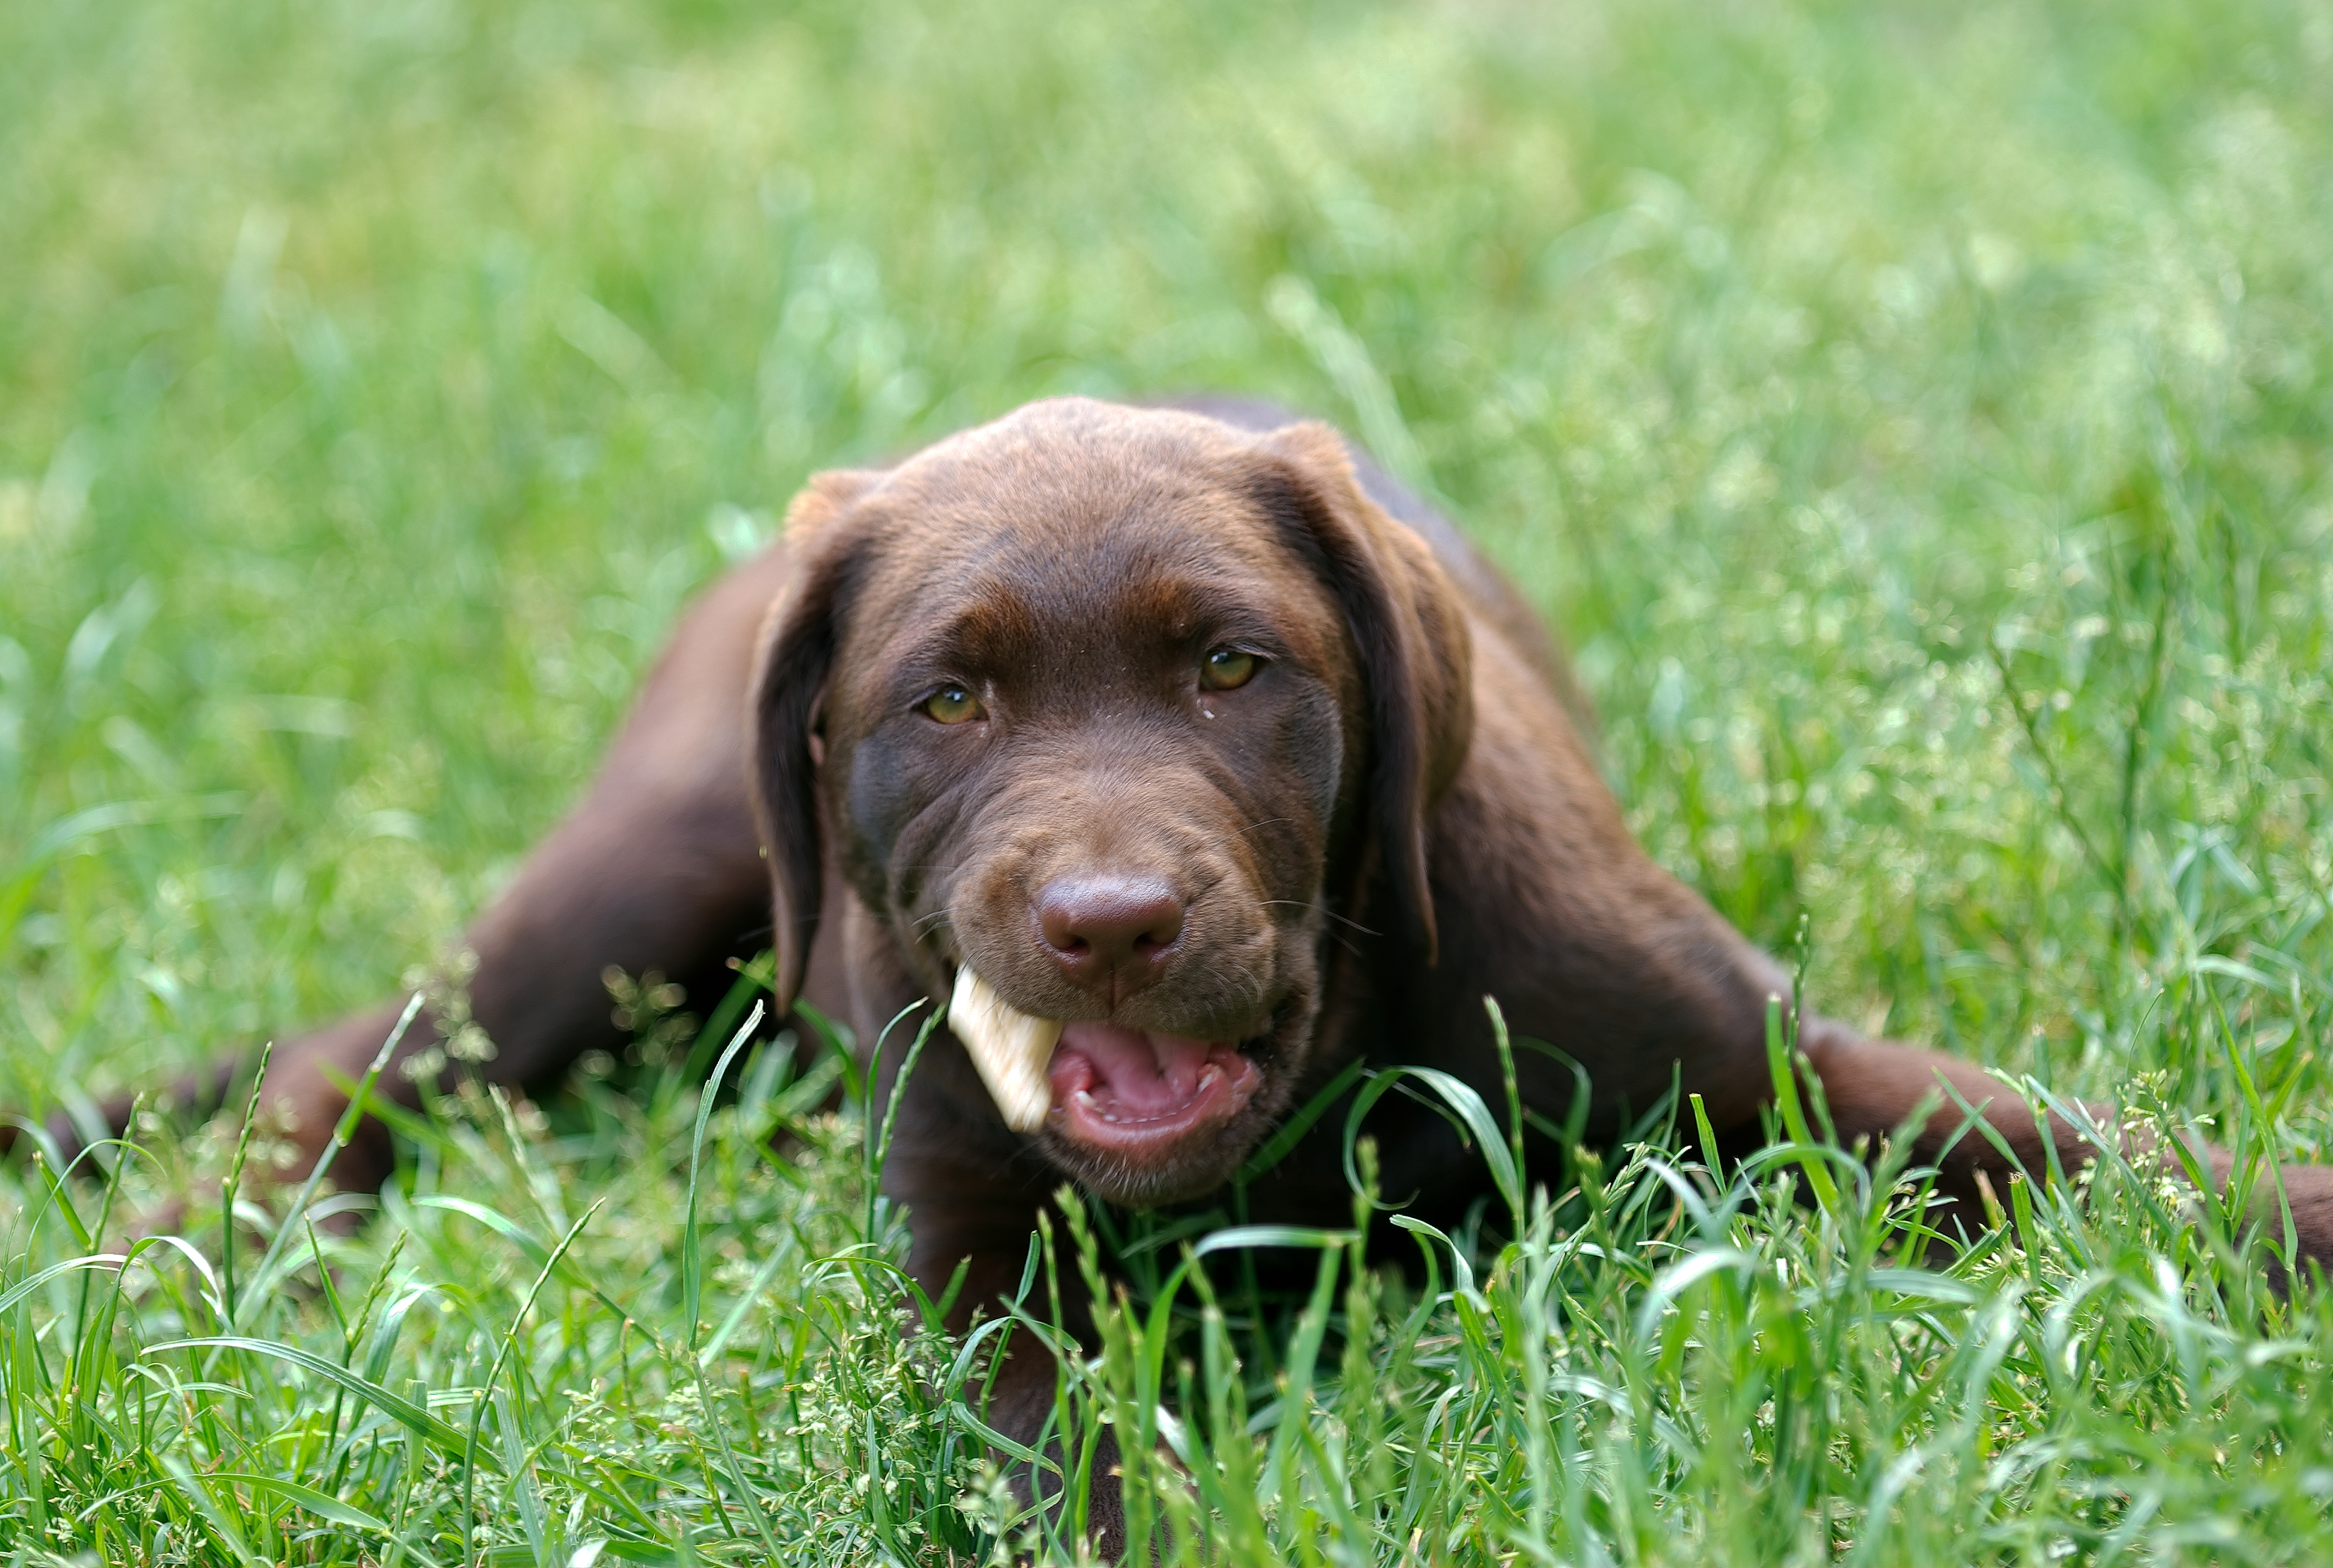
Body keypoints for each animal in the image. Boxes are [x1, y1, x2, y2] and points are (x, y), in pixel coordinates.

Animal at [50, 394, 2333, 1540]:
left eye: (1235, 668)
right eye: (948, 697)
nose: (1113, 920)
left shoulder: (1747, 1054)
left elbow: (2097, 1153)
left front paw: (2285, 1218)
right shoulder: (979, 1242)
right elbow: (1070, 1442)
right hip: (646, 864)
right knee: (373, 1050)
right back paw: (183, 1251)